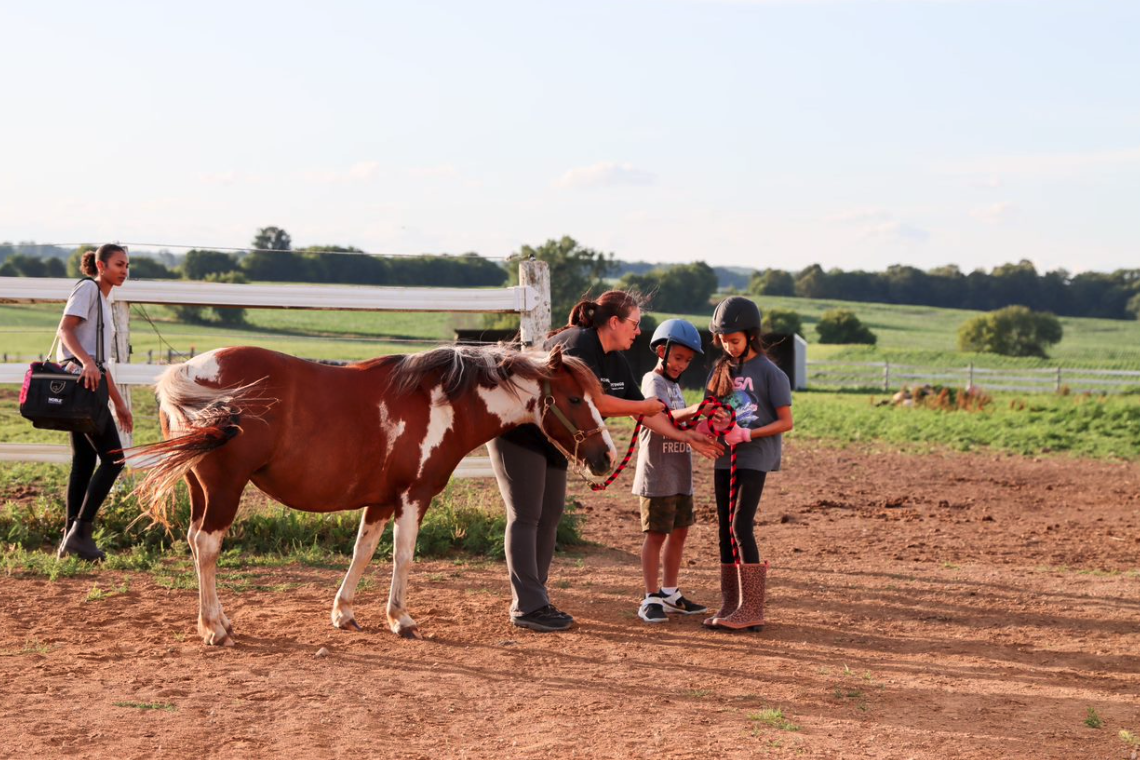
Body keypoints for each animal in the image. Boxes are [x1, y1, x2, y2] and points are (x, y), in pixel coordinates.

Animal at [124, 343, 616, 646]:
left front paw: (344, 613)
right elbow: (403, 556)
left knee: (195, 541)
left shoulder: (380, 500)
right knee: (207, 544)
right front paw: (401, 618)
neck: (441, 402)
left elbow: (362, 552)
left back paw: (219, 620)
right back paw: (214, 628)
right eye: (575, 399)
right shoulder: (414, 496)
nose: (606, 457)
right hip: (224, 487)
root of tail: (188, 370)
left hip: (199, 488)